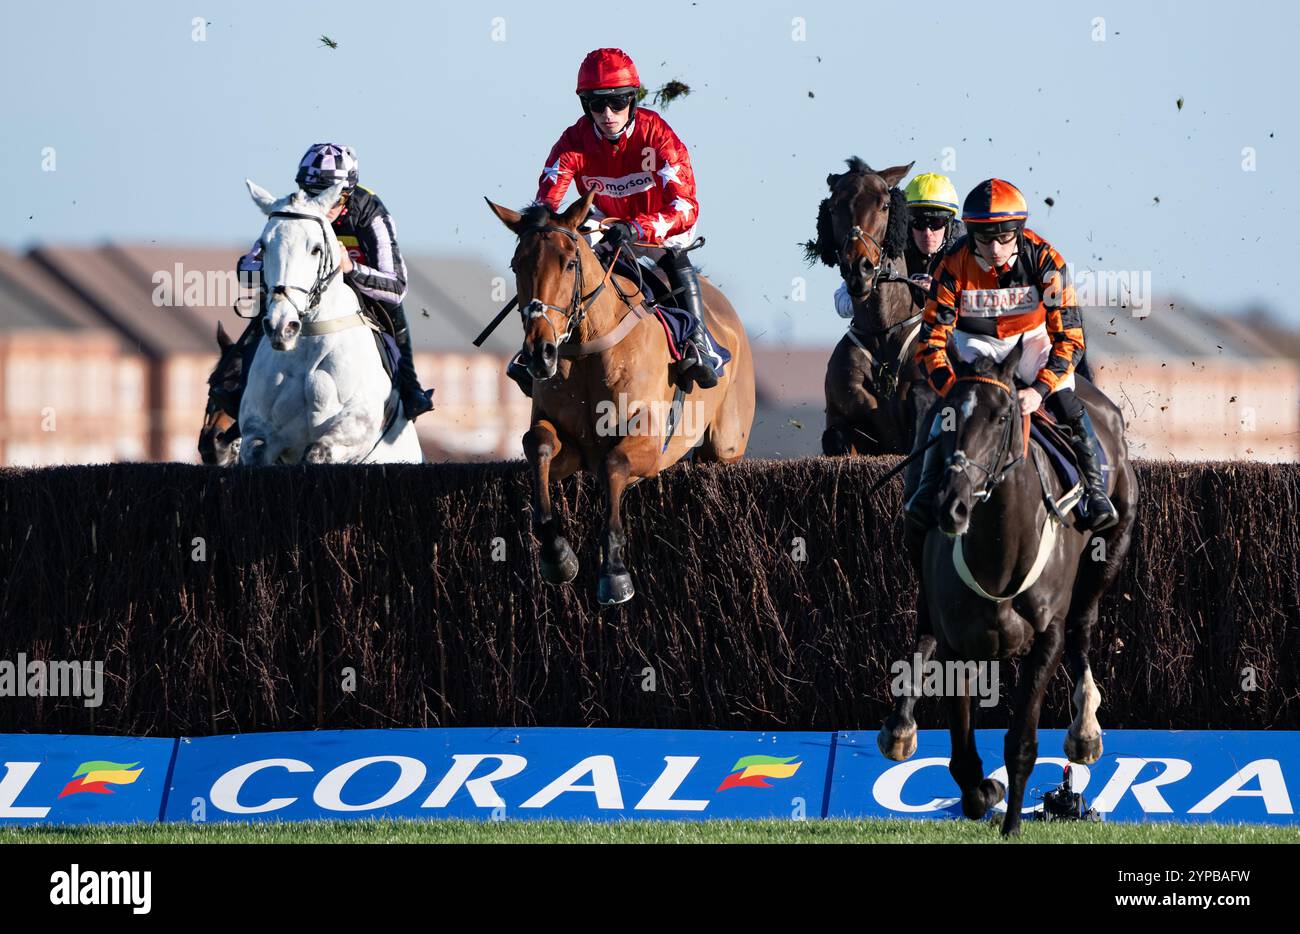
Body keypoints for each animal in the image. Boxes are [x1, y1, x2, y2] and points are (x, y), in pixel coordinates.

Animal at [241, 178, 423, 465]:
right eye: (264, 246)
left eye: (316, 249)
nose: (282, 326)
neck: (307, 344)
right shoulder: (256, 430)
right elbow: (257, 449)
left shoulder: (356, 426)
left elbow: (318, 451)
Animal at [488, 192, 759, 606]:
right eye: (517, 265)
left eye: (570, 263)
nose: (540, 353)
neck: (588, 348)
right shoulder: (570, 446)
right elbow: (538, 446)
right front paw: (557, 555)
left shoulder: (648, 442)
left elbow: (613, 464)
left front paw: (614, 573)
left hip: (726, 445)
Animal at [873, 343, 1138, 842]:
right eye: (947, 417)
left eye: (1001, 417)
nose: (952, 505)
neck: (1000, 551)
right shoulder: (960, 645)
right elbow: (962, 755)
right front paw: (985, 792)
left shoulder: (1046, 638)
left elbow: (1021, 742)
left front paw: (1012, 820)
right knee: (923, 628)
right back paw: (900, 727)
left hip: (1112, 547)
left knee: (1084, 626)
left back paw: (1085, 730)